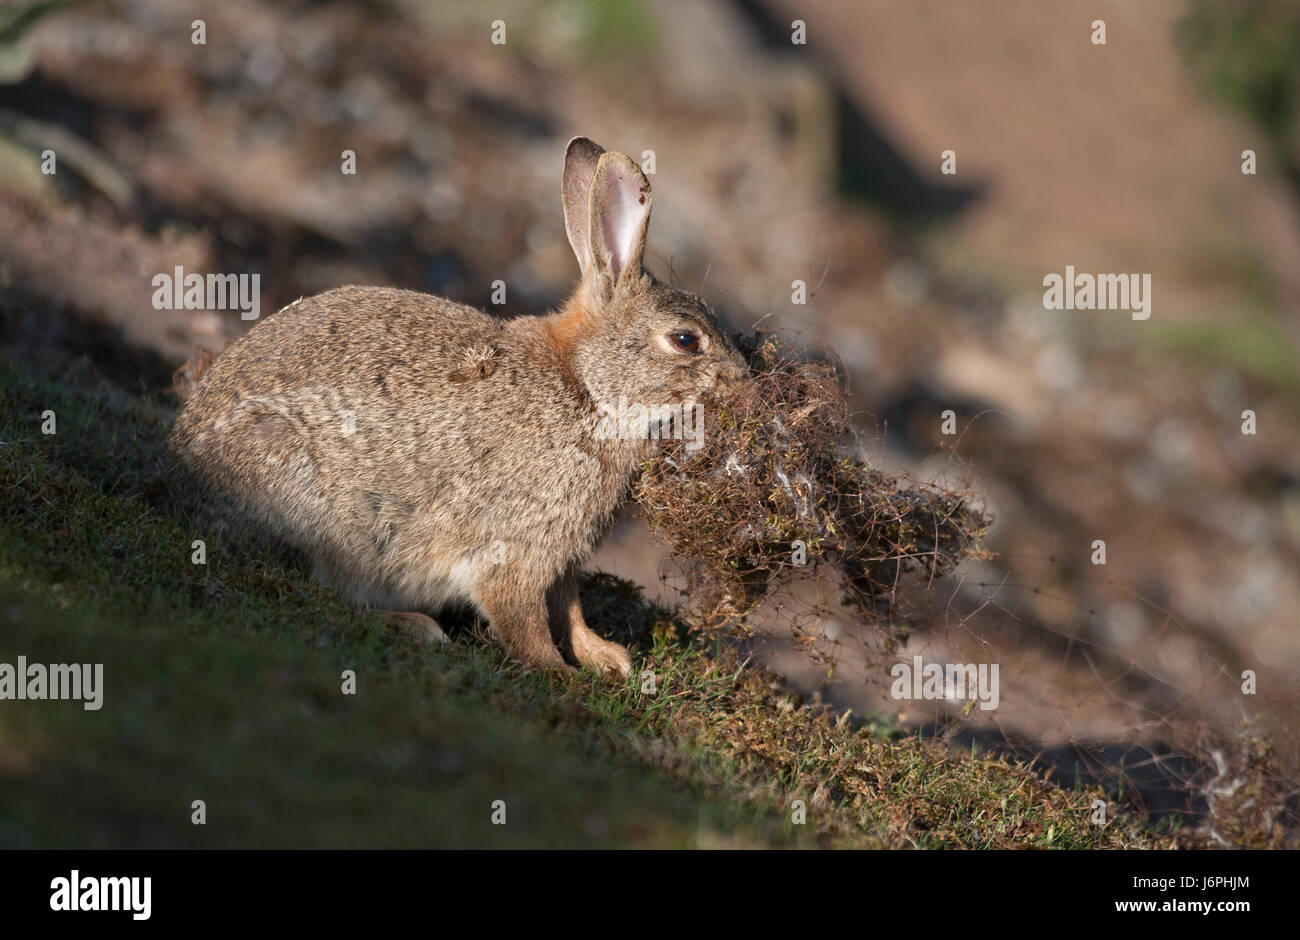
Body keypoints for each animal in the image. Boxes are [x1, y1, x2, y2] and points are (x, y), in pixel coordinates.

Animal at [168, 137, 749, 675]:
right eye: (685, 340)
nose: (743, 383)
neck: (585, 386)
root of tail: (182, 479)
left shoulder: (563, 556)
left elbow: (570, 610)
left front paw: (606, 658)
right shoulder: (515, 547)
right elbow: (523, 618)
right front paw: (559, 674)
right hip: (313, 502)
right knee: (320, 589)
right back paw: (414, 626)